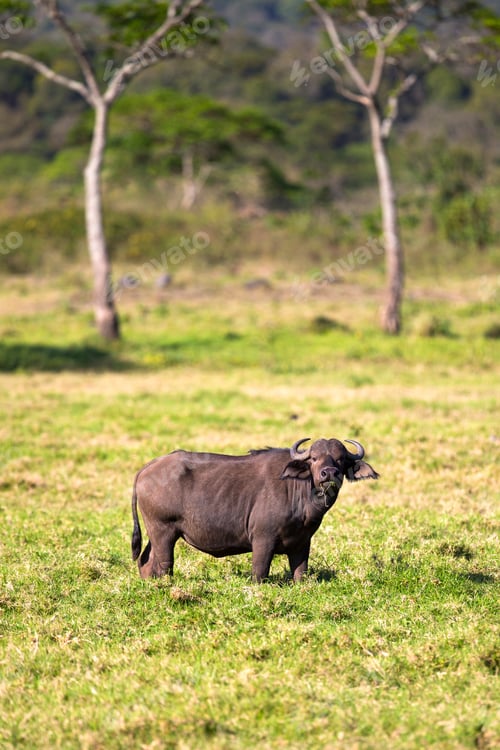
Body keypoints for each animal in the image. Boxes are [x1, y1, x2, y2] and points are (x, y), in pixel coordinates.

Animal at [131, 437, 379, 582]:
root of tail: (147, 468)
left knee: (146, 562)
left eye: (340, 459)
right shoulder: (262, 540)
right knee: (163, 566)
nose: (329, 474)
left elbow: (300, 573)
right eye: (314, 458)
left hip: (156, 535)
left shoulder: (302, 543)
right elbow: (260, 572)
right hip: (163, 532)